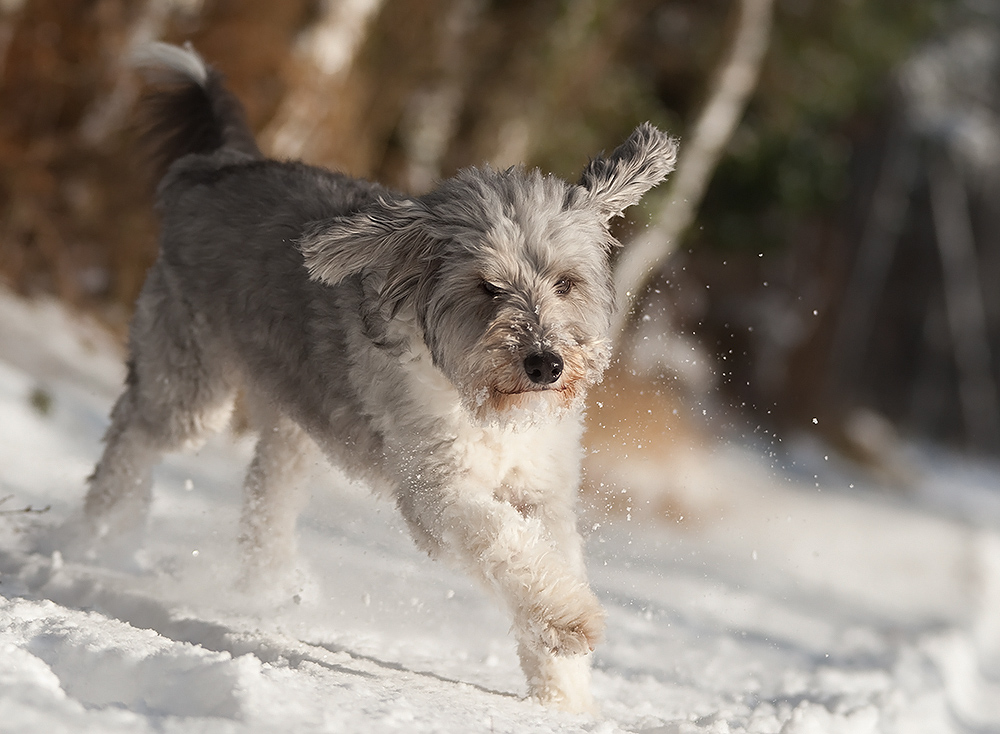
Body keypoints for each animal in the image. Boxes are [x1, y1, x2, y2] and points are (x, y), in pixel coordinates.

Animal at [74, 41, 676, 712]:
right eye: (487, 288)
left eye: (566, 283)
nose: (545, 364)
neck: (487, 410)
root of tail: (218, 167)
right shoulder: (437, 489)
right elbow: (507, 544)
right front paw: (572, 620)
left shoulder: (543, 487)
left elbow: (547, 552)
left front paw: (564, 693)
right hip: (190, 383)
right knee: (132, 434)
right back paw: (98, 537)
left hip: (296, 414)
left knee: (266, 490)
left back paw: (268, 586)